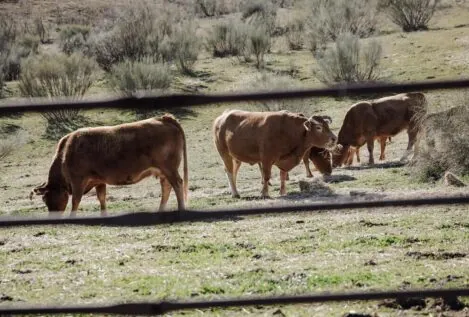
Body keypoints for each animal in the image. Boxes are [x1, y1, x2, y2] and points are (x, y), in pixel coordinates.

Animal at [29, 113, 188, 215]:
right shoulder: (99, 181)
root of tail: (163, 118)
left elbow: (75, 201)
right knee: (166, 187)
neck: (66, 152)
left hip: (169, 169)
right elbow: (102, 199)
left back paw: (181, 208)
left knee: (177, 184)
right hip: (162, 172)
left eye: (46, 198)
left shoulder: (78, 181)